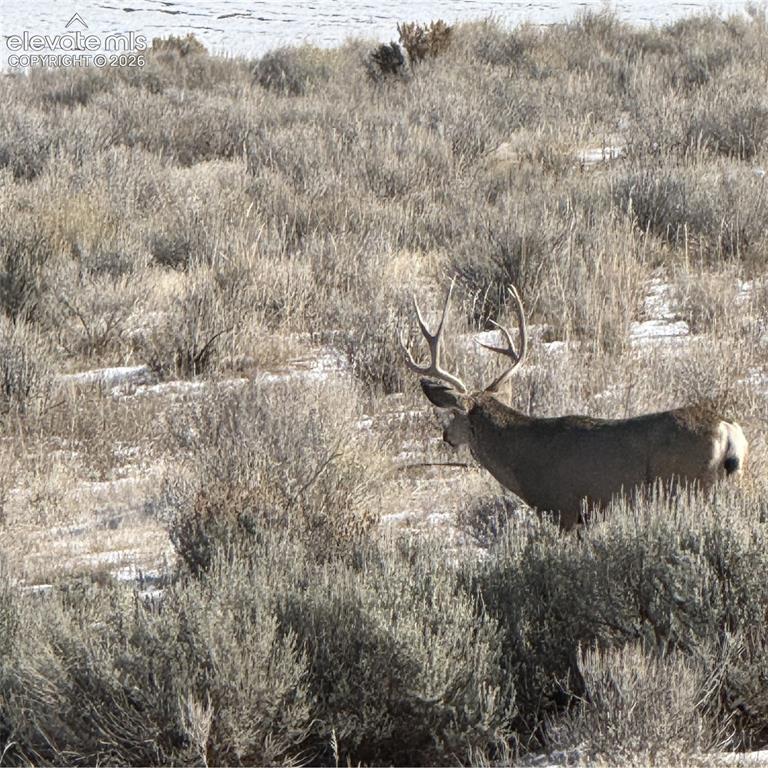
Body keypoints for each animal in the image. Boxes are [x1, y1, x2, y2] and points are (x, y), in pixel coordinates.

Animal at [399, 281, 747, 530]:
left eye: (454, 413)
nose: (446, 437)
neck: (521, 459)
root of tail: (727, 428)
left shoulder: (561, 507)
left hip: (688, 486)